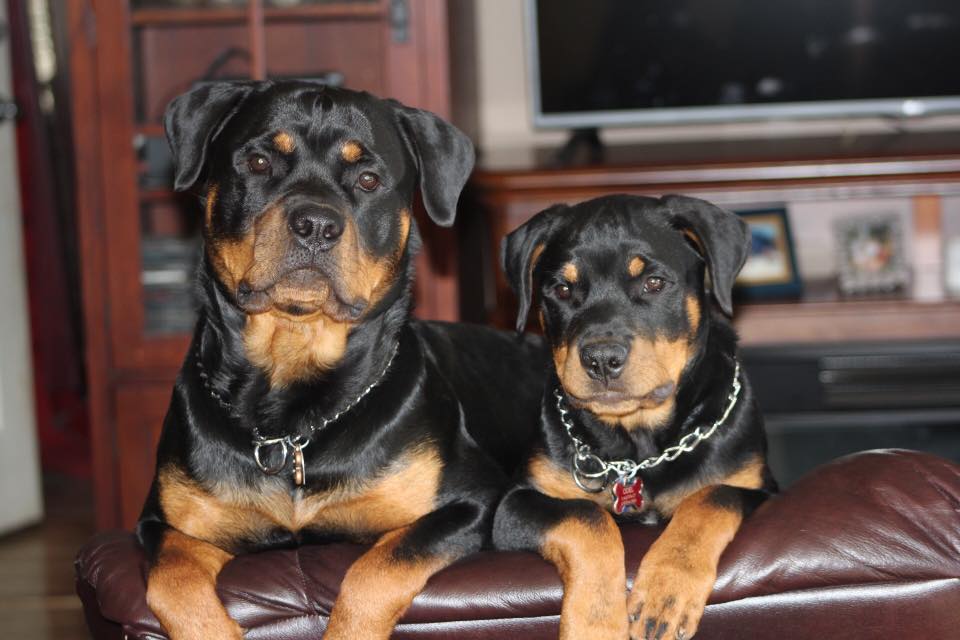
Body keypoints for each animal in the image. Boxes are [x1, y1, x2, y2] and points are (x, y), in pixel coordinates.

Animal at [141, 81, 548, 640]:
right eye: (259, 162)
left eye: (368, 179)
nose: (315, 223)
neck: (291, 424)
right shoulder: (164, 521)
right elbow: (173, 577)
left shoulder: (472, 500)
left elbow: (375, 568)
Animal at [496, 195, 780, 640]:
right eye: (562, 289)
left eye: (654, 283)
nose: (601, 359)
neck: (637, 448)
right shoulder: (515, 503)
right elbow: (587, 518)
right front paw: (595, 624)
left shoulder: (759, 487)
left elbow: (710, 496)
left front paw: (665, 596)